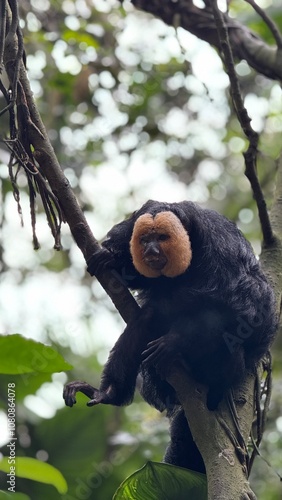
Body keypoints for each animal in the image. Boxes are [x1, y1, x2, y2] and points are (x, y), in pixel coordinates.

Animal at [62, 200, 276, 472]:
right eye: (145, 239)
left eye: (162, 238)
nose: (151, 250)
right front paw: (111, 258)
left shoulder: (222, 252)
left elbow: (243, 310)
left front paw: (173, 342)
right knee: (145, 321)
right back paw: (109, 393)